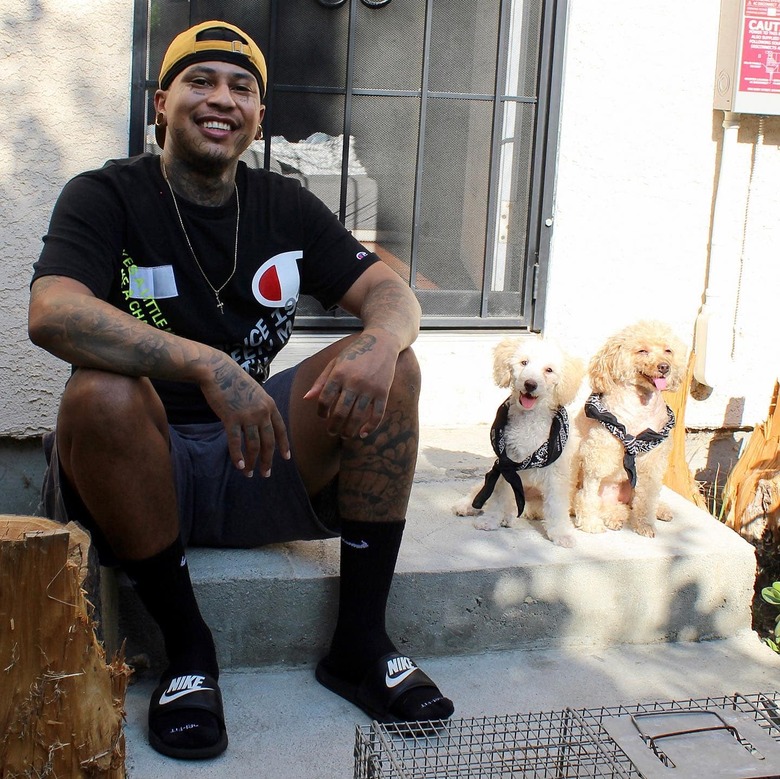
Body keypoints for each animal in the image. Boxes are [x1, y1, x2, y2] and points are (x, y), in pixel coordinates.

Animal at [450, 336, 584, 548]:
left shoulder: (556, 476)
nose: (530, 384)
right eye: (524, 362)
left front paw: (562, 534)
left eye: (549, 370)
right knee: (480, 492)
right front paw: (490, 520)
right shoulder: (505, 464)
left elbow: (556, 506)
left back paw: (509, 517)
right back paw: (467, 506)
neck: (529, 420)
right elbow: (497, 498)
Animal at [568, 320, 684, 540]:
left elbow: (647, 498)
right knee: (596, 503)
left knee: (635, 502)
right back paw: (614, 517)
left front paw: (645, 525)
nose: (664, 367)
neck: (640, 409)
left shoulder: (653, 461)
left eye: (668, 350)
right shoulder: (599, 452)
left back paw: (659, 509)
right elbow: (589, 492)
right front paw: (590, 523)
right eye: (642, 350)